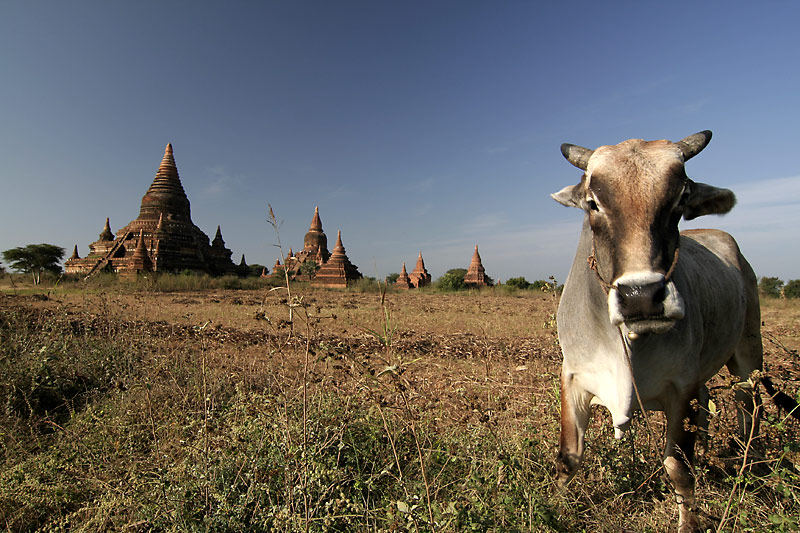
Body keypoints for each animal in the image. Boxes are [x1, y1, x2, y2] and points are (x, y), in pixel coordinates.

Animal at [552, 130, 764, 532]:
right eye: (593, 203)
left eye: (680, 198)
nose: (641, 297)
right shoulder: (573, 376)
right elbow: (568, 458)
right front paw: (551, 508)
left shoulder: (681, 387)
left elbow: (679, 468)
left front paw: (688, 524)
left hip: (748, 354)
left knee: (750, 410)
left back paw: (752, 468)